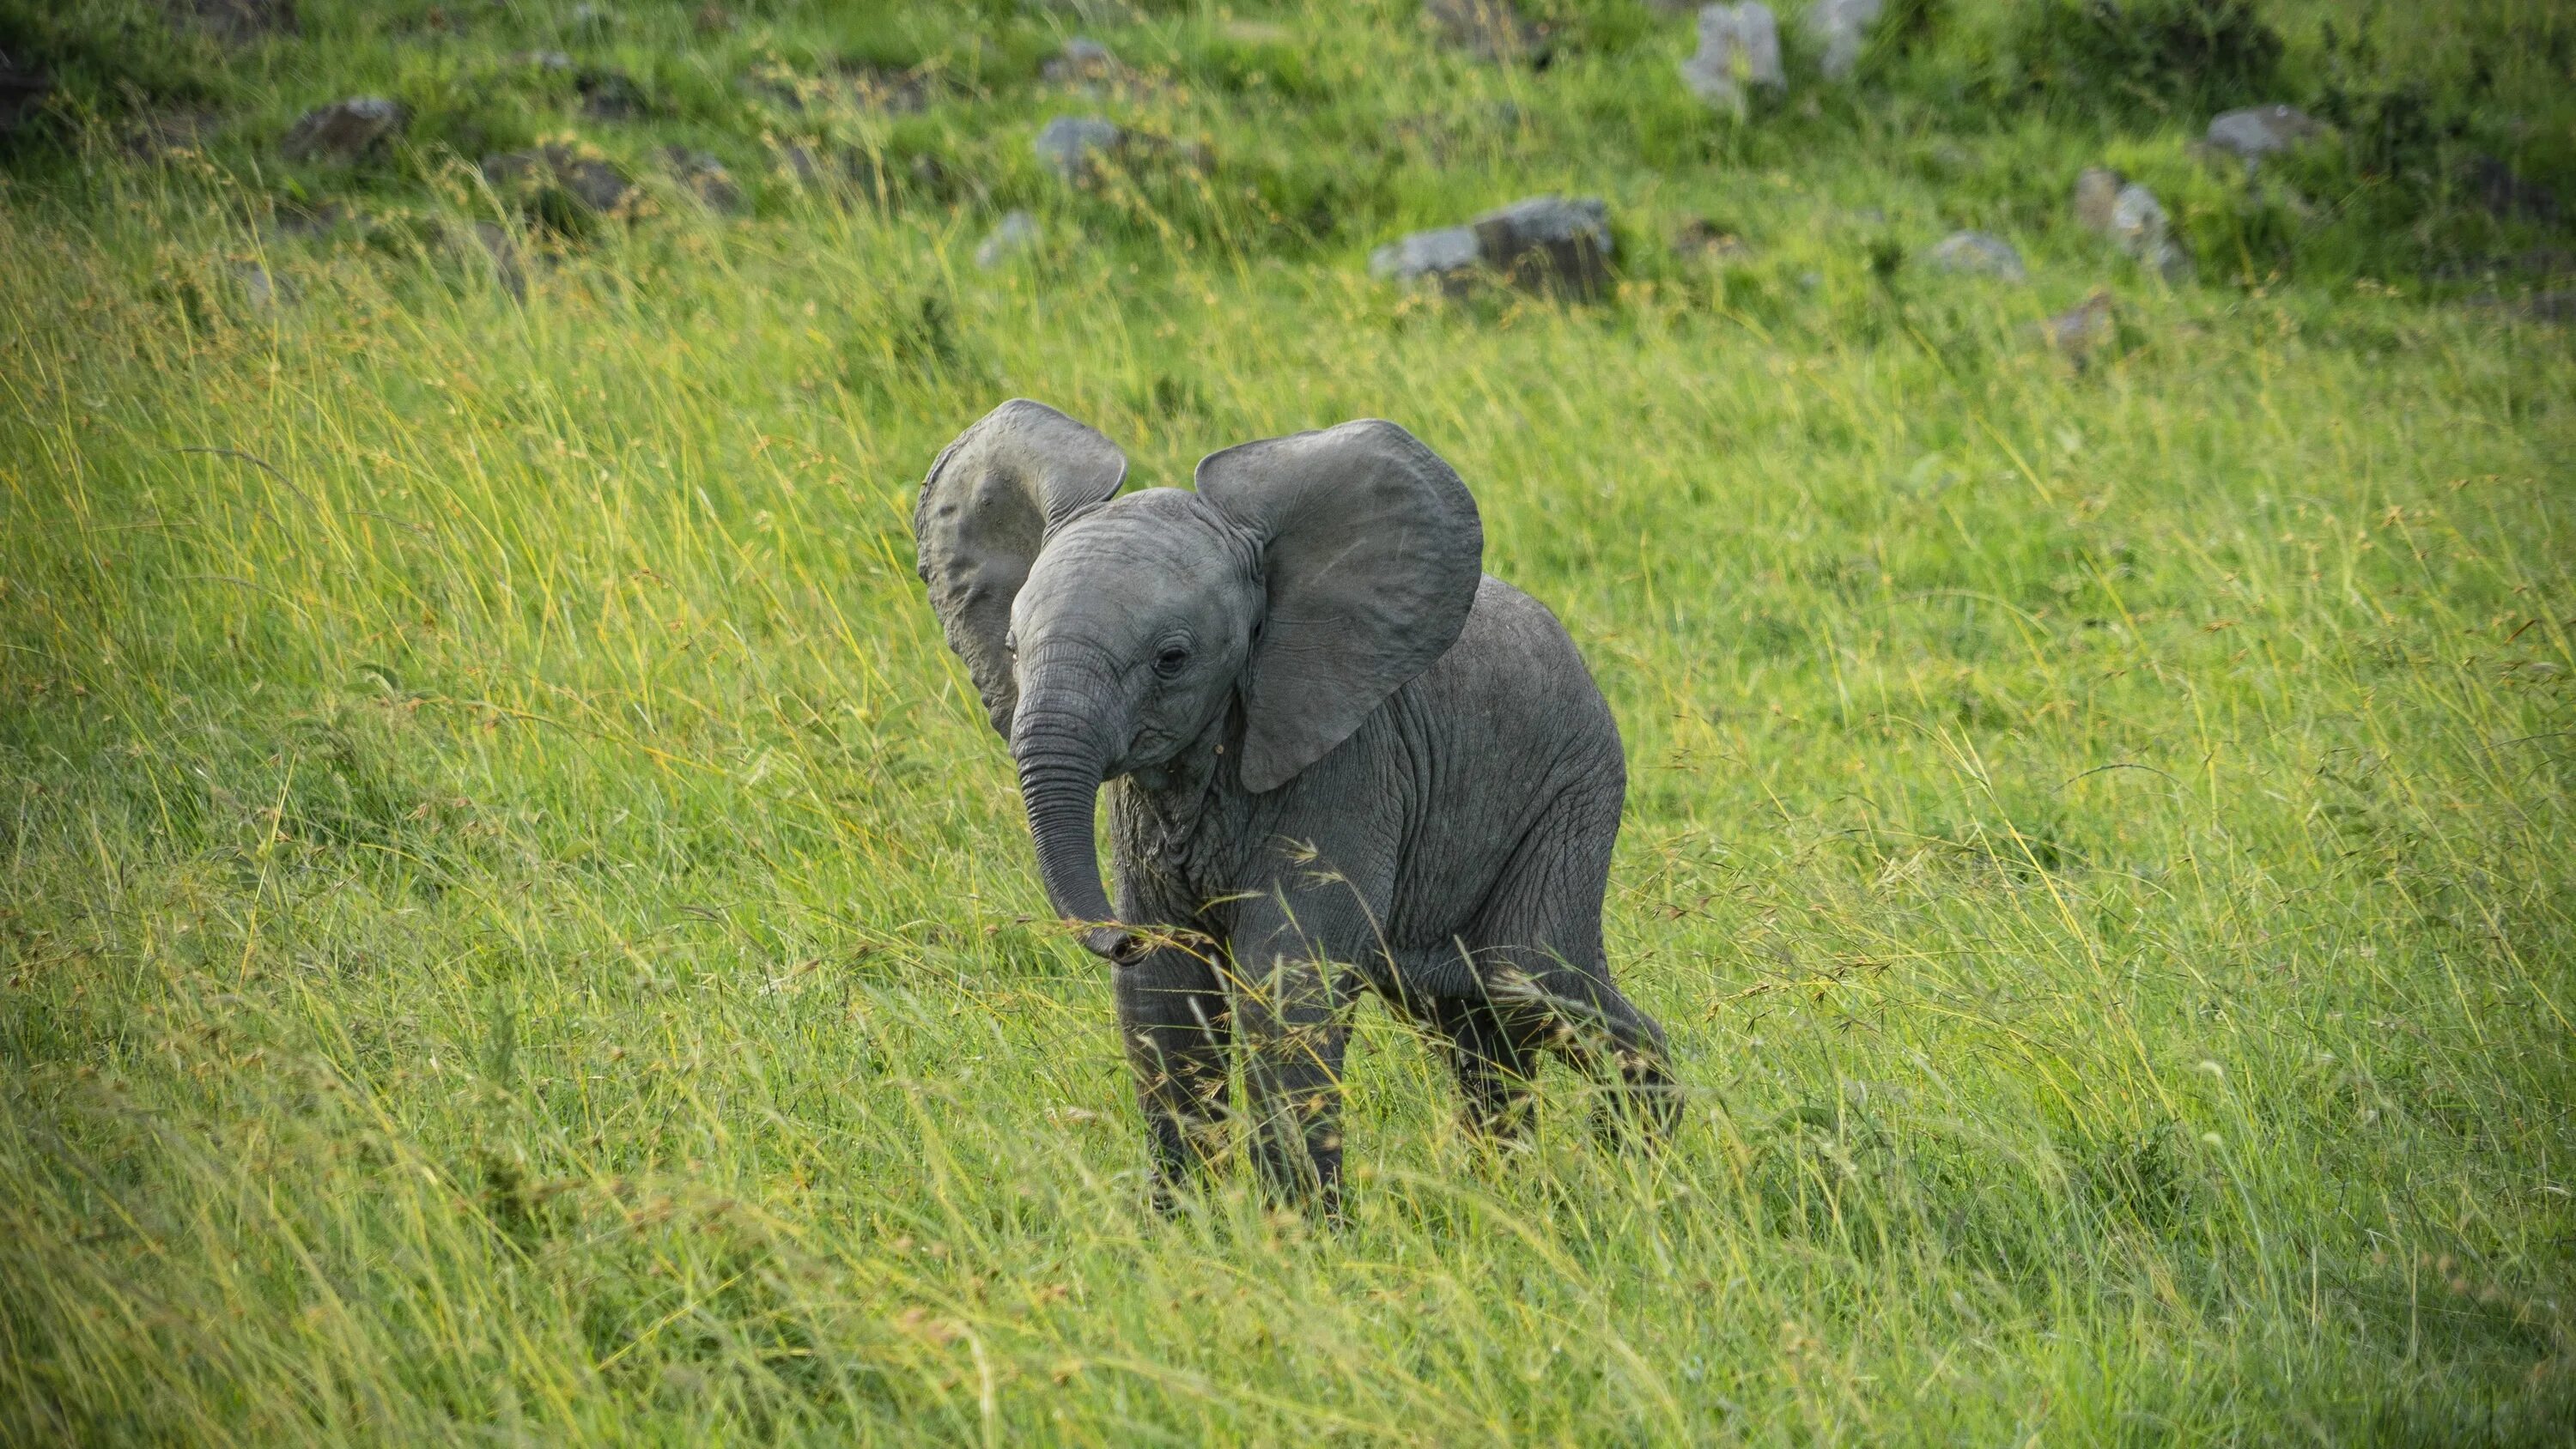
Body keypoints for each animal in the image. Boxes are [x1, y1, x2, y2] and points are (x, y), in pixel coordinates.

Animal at [917, 396, 1680, 1215]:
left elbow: (1283, 983)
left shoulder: (1350, 764)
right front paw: (1180, 1226)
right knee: (1478, 1027)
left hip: (1571, 795)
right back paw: (1510, 1194)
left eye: (1172, 660)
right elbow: (1167, 996)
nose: (1121, 937)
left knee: (1532, 982)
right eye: (1013, 649)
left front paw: (1303, 1234)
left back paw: (1643, 1178)